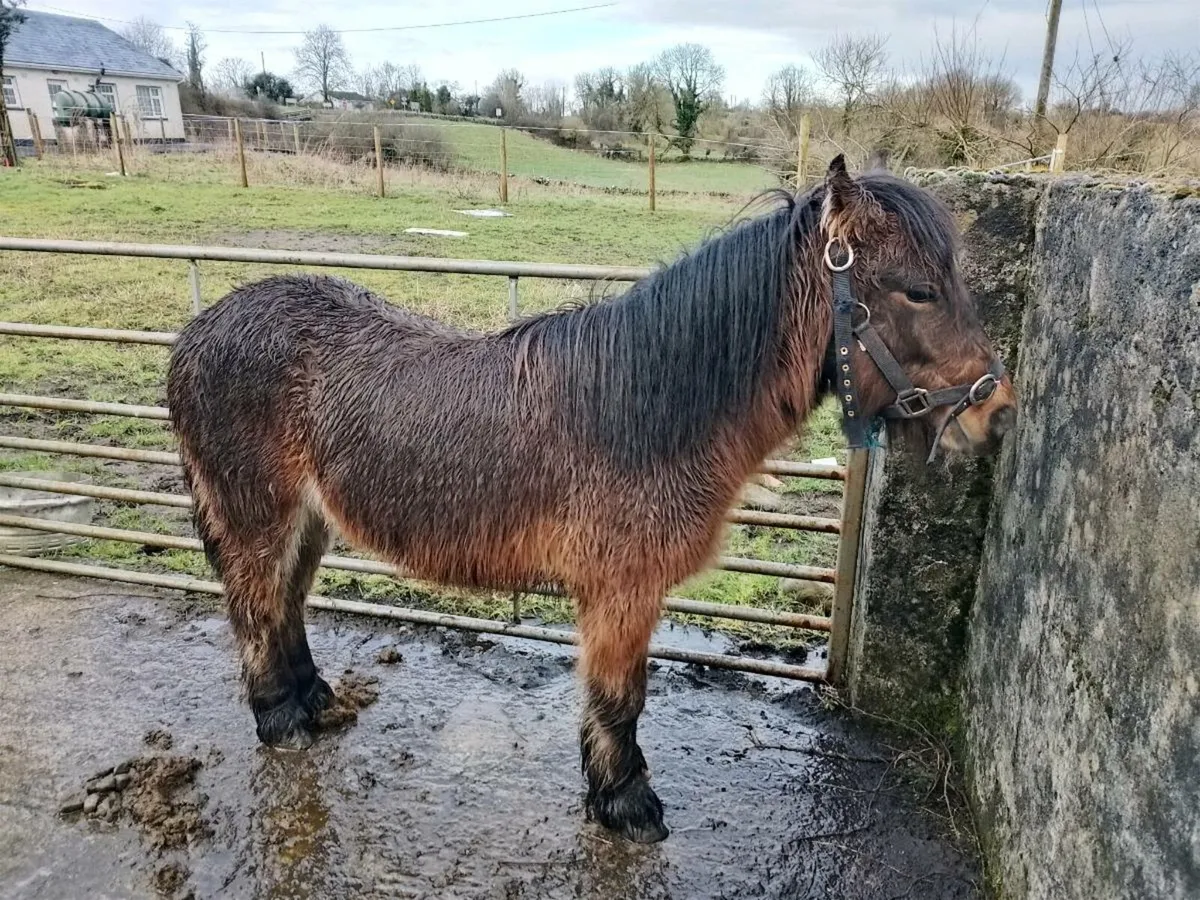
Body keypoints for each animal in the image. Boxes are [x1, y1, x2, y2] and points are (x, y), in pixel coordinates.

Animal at [165, 156, 1017, 844]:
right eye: (918, 291)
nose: (998, 413)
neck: (648, 406)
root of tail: (198, 330)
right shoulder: (621, 591)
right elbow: (620, 698)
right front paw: (626, 804)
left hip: (307, 520)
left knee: (284, 602)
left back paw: (313, 700)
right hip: (256, 516)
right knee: (254, 606)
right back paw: (282, 719)